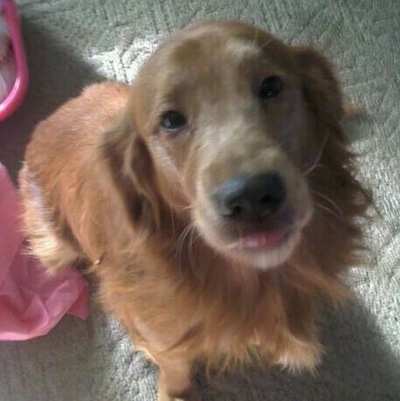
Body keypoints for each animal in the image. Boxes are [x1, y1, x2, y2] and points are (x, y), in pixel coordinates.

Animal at [18, 20, 370, 398]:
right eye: (171, 120)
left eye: (271, 86)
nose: (252, 196)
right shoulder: (159, 336)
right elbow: (176, 364)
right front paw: (176, 391)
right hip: (55, 248)